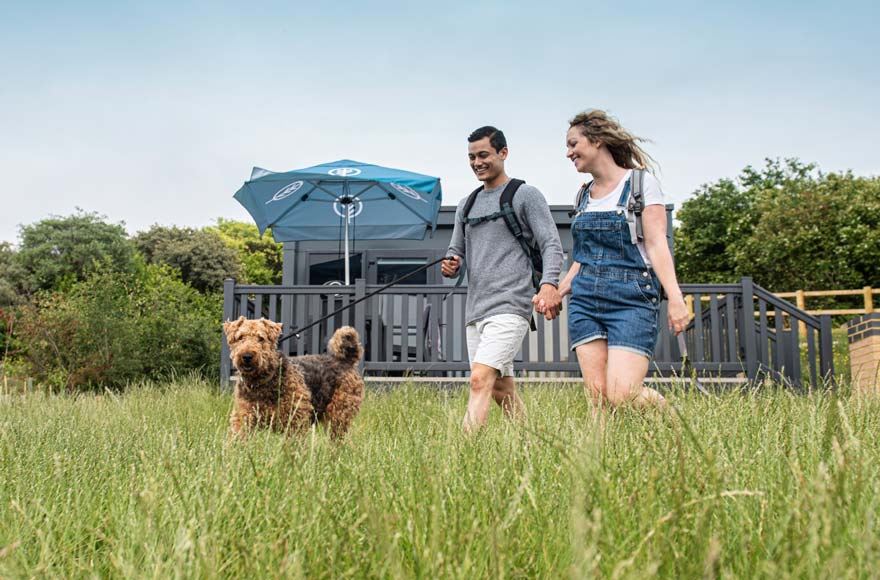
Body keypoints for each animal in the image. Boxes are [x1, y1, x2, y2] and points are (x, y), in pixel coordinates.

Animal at [225, 318, 366, 440]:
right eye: (240, 337)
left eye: (261, 338)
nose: (247, 356)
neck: (260, 382)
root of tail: (346, 360)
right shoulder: (243, 416)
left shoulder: (296, 419)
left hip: (339, 416)